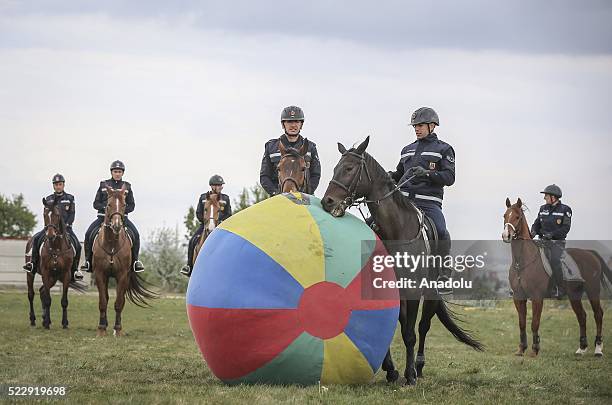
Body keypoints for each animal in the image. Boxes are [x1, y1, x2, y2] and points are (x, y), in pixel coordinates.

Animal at [26, 199, 79, 328]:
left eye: (57, 215)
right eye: (44, 214)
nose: (50, 235)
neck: (56, 247)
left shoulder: (66, 274)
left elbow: (64, 301)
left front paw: (64, 323)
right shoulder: (46, 272)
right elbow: (48, 299)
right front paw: (46, 324)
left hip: (54, 278)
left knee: (42, 291)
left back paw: (45, 318)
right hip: (31, 274)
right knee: (31, 294)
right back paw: (33, 320)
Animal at [92, 185, 157, 336]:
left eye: (124, 205)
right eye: (108, 205)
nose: (116, 225)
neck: (111, 244)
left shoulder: (122, 275)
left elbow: (119, 302)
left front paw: (118, 329)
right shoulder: (100, 274)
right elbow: (103, 302)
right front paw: (101, 329)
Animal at [320, 137, 482, 386]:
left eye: (349, 168)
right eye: (336, 168)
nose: (327, 202)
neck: (396, 230)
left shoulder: (413, 291)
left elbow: (409, 333)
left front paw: (409, 375)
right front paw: (391, 370)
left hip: (431, 293)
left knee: (423, 327)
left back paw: (419, 366)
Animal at [502, 197, 608, 356]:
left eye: (517, 217)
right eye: (504, 216)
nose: (506, 236)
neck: (522, 262)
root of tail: (590, 253)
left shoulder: (537, 297)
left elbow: (534, 323)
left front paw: (535, 350)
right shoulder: (518, 297)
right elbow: (522, 323)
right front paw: (521, 349)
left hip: (593, 290)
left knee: (598, 315)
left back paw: (598, 349)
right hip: (574, 295)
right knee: (582, 316)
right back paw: (581, 348)